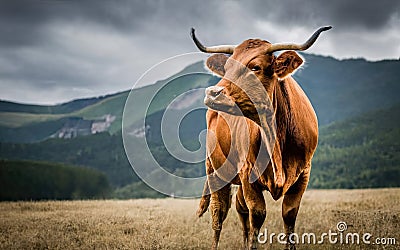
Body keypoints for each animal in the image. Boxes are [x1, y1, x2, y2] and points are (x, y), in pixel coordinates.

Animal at [191, 26, 332, 249]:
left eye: (255, 67)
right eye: (227, 66)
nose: (213, 93)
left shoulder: (303, 173)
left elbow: (289, 215)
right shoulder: (248, 172)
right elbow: (257, 214)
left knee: (240, 208)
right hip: (215, 170)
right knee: (218, 211)